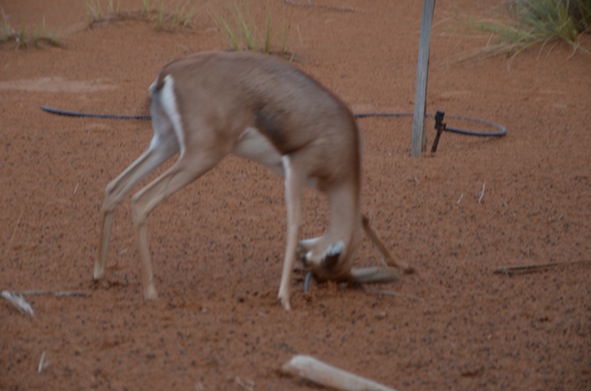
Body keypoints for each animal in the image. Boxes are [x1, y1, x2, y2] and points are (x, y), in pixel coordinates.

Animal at [93, 50, 412, 310]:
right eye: (311, 263)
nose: (302, 258)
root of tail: (168, 73)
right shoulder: (296, 170)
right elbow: (294, 224)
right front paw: (284, 298)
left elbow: (364, 216)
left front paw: (400, 263)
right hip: (200, 157)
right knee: (140, 200)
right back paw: (151, 292)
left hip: (166, 144)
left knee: (115, 187)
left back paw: (100, 275)